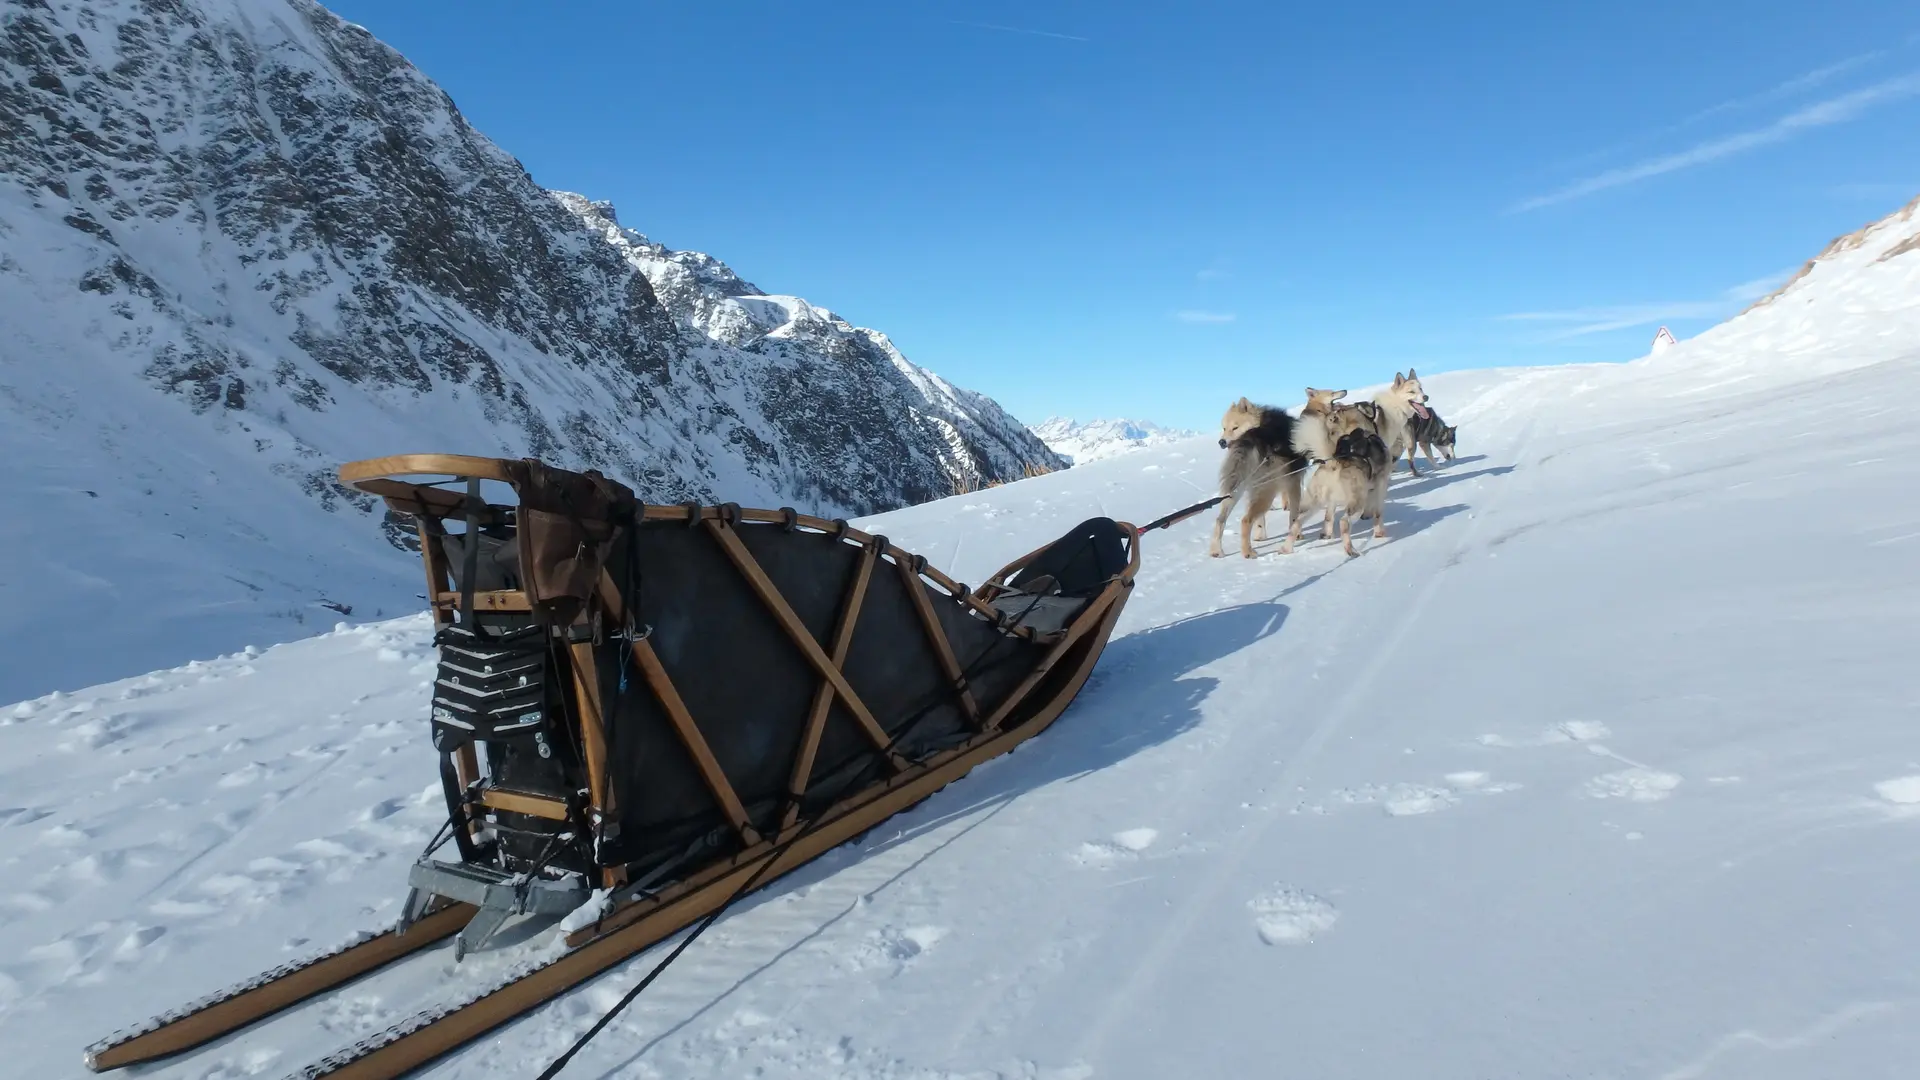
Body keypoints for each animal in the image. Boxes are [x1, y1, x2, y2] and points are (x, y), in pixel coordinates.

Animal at [1213, 397, 1305, 564]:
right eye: (1224, 428)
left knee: (1220, 519)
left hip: (1235, 491)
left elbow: (1261, 521)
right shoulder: (1293, 481)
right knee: (1245, 520)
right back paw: (1247, 552)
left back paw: (1216, 551)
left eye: (1234, 427)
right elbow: (1294, 514)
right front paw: (1298, 534)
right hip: (1267, 490)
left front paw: (1260, 536)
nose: (1221, 442)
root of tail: (1252, 437)